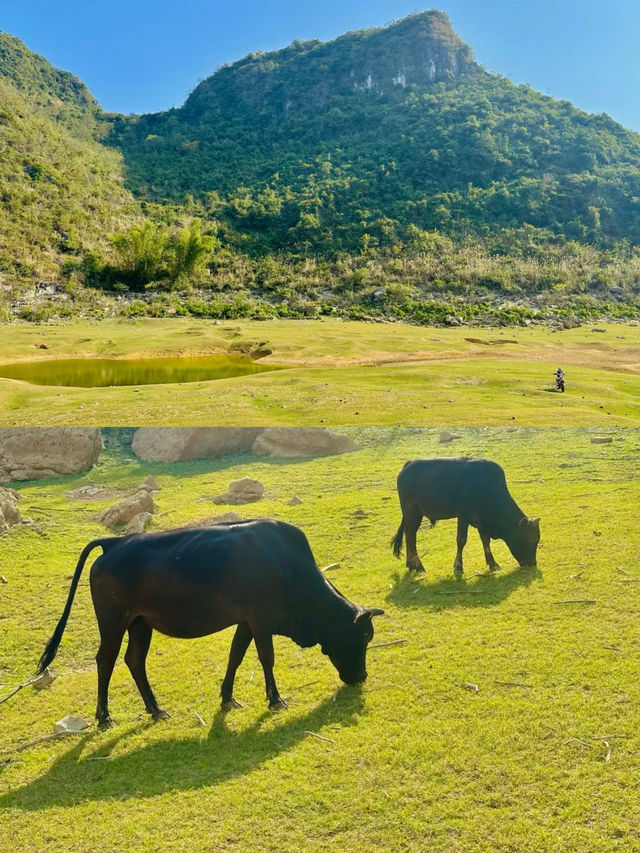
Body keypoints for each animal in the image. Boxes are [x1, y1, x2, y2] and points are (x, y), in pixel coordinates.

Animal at [37, 516, 382, 728]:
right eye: (363, 638)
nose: (362, 676)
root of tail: (115, 542)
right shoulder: (261, 619)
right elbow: (266, 658)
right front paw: (275, 700)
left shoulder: (246, 621)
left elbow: (236, 656)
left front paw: (228, 697)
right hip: (113, 621)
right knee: (105, 660)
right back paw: (104, 716)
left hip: (140, 623)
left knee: (134, 660)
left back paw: (156, 709)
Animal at [390, 460, 540, 580]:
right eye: (532, 538)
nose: (533, 563)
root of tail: (408, 465)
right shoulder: (463, 514)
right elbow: (461, 540)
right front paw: (458, 567)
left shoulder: (480, 520)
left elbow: (485, 540)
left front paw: (493, 563)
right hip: (412, 511)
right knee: (411, 537)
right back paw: (418, 566)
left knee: (409, 536)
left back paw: (411, 565)